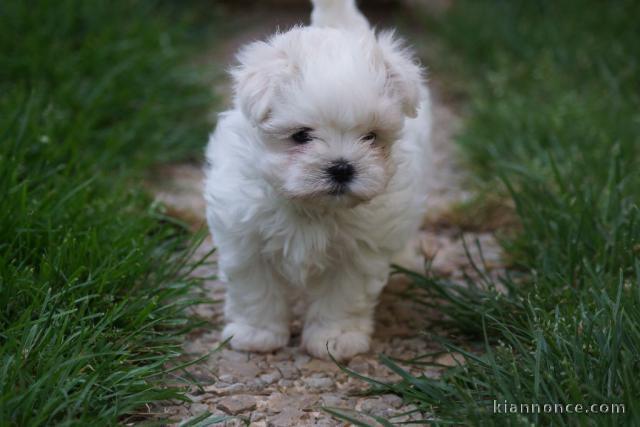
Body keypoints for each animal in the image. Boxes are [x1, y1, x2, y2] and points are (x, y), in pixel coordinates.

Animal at [208, 0, 432, 362]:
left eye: (371, 136)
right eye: (301, 136)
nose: (341, 168)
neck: (312, 207)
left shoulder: (358, 251)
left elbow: (342, 296)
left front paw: (334, 338)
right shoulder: (245, 237)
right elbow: (255, 289)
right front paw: (257, 334)